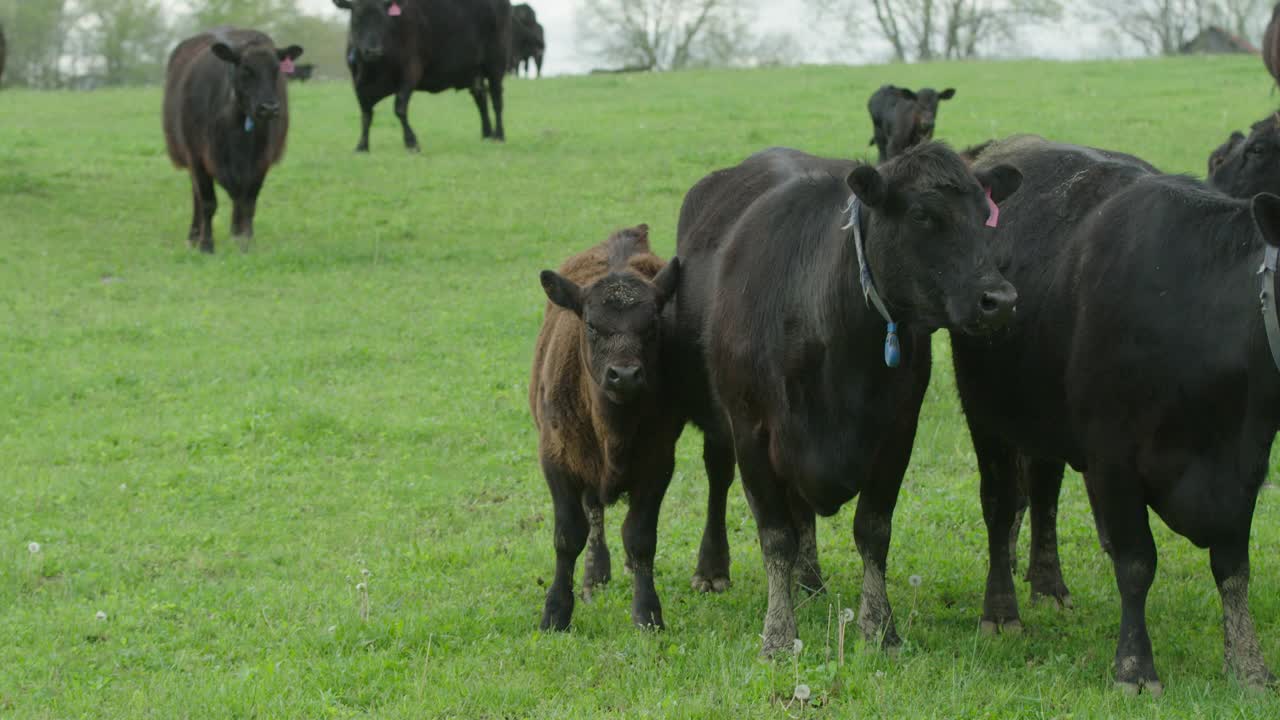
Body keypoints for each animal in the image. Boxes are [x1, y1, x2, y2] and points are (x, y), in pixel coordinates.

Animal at [161, 28, 303, 252]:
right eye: (246, 69)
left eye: (276, 70)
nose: (269, 108)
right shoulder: (197, 157)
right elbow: (208, 202)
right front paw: (206, 244)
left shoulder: (260, 161)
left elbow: (249, 203)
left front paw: (246, 242)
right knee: (197, 197)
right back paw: (194, 236)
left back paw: (236, 233)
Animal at [330, 0, 509, 151]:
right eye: (357, 19)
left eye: (384, 20)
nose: (373, 51)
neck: (373, 70)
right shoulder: (358, 82)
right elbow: (366, 114)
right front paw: (362, 146)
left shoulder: (410, 71)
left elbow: (399, 108)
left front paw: (411, 142)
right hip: (473, 70)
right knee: (481, 97)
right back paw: (486, 134)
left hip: (496, 62)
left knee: (496, 100)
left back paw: (499, 135)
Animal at [670, 142, 1018, 653]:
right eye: (921, 214)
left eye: (985, 216)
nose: (1000, 300)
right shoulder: (752, 429)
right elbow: (775, 535)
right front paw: (778, 632)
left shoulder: (898, 431)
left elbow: (873, 530)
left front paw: (878, 625)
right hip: (718, 415)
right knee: (719, 477)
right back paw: (713, 569)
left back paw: (811, 580)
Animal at [962, 133, 1280, 691]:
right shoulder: (1114, 459)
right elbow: (1136, 563)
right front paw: (1134, 666)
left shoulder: (1245, 467)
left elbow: (1233, 568)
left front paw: (1248, 665)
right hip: (989, 414)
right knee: (1001, 507)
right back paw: (1001, 611)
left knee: (1043, 492)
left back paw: (1049, 584)